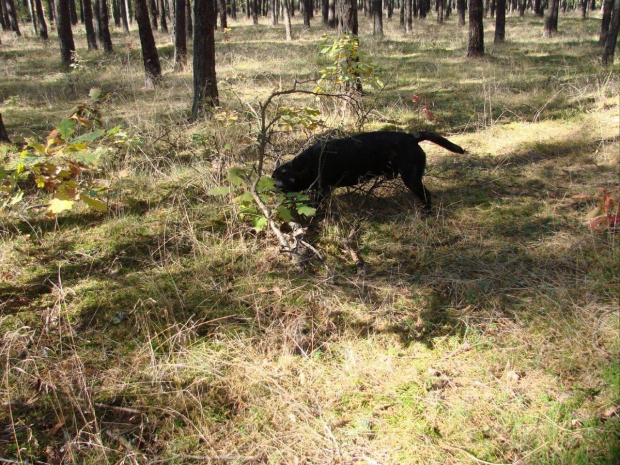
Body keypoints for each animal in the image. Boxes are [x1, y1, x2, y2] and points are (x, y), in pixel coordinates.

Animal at [272, 130, 464, 211]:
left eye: (278, 180)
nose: (272, 187)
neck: (304, 165)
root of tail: (412, 137)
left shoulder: (323, 189)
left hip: (411, 178)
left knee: (426, 195)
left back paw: (426, 213)